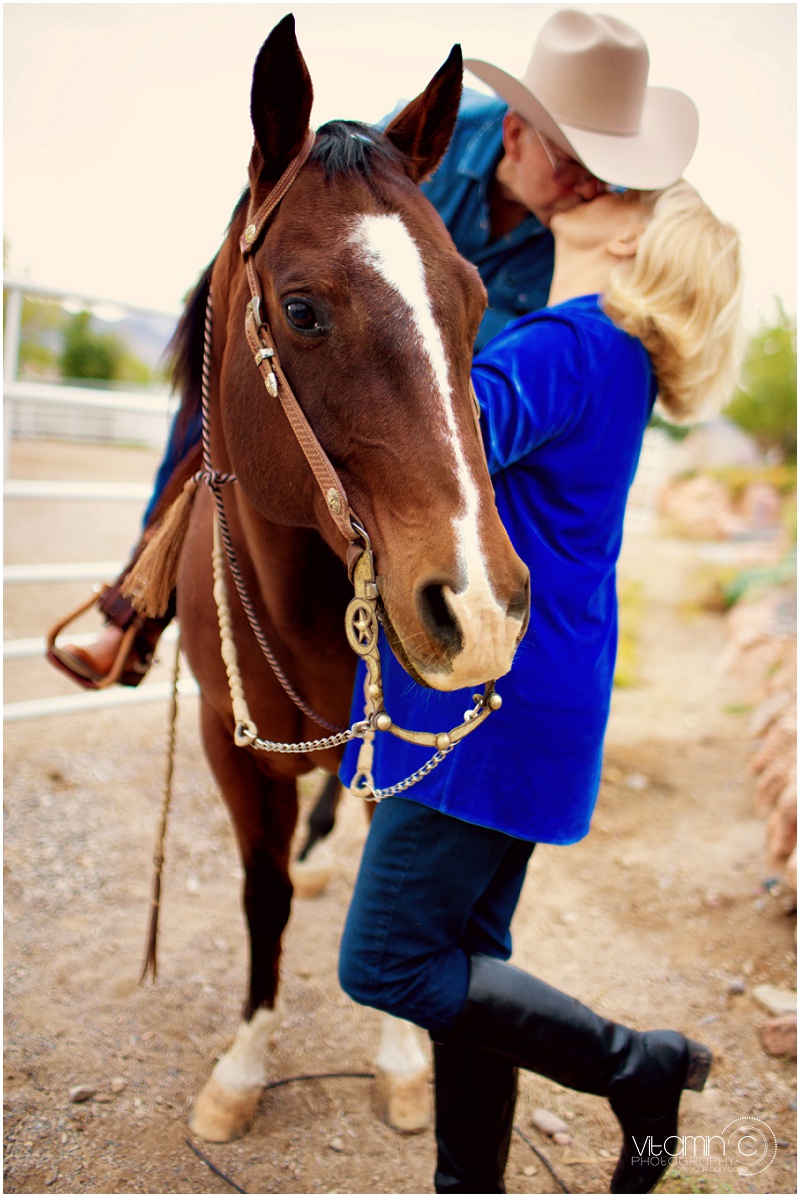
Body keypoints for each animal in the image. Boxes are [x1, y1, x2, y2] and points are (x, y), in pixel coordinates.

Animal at [133, 16, 526, 1139]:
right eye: (302, 310)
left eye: (473, 300)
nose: (479, 606)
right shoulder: (228, 749)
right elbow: (260, 898)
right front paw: (241, 1070)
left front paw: (400, 1059)